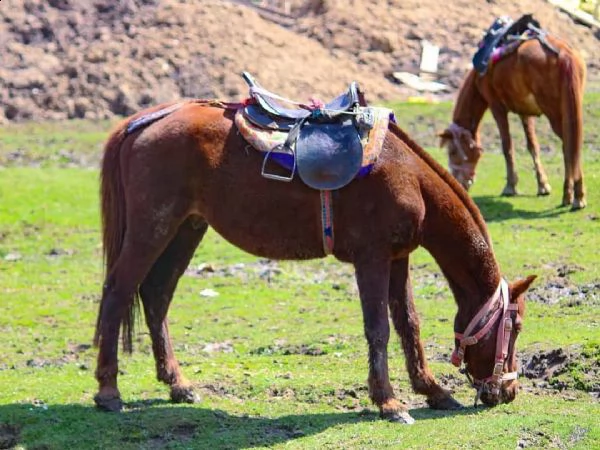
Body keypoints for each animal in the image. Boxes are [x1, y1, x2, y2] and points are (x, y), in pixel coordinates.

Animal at [440, 32, 584, 210]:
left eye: (452, 152)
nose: (458, 184)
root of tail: (564, 53)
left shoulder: (497, 107)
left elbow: (507, 147)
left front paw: (510, 186)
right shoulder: (525, 113)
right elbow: (533, 146)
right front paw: (543, 186)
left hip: (556, 115)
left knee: (570, 147)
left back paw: (577, 197)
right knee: (570, 147)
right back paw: (568, 195)